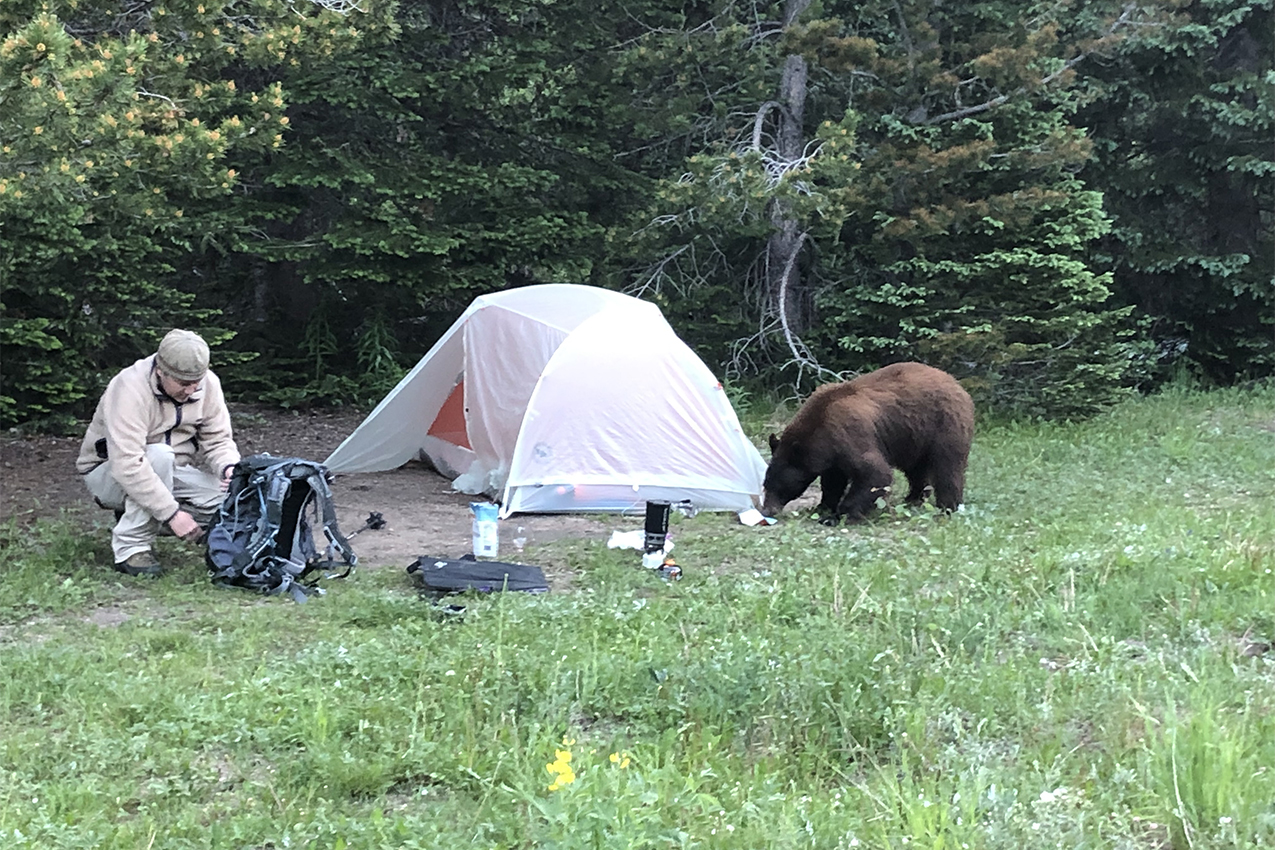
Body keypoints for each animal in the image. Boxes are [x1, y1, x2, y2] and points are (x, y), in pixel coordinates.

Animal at [761, 362, 974, 524]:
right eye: (766, 483)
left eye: (779, 485)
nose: (766, 511)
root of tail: (956, 383)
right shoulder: (832, 453)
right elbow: (833, 481)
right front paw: (822, 507)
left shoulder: (850, 434)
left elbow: (875, 474)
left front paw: (839, 516)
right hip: (914, 438)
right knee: (916, 470)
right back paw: (913, 499)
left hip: (944, 425)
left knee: (947, 467)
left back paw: (948, 507)